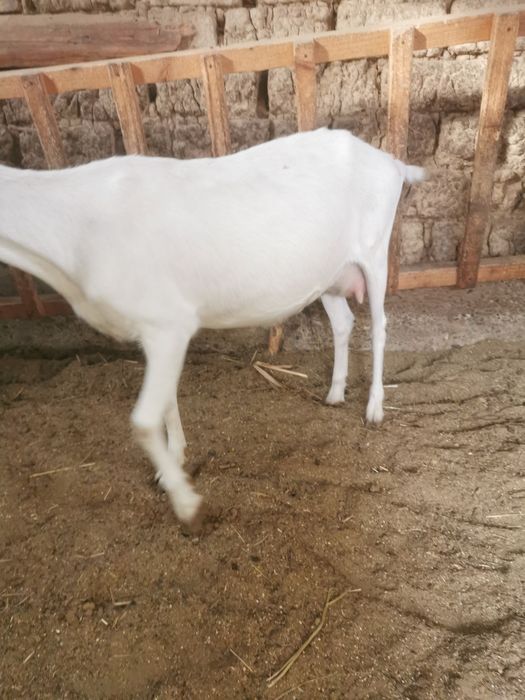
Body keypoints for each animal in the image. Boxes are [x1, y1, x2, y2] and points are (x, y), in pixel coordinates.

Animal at [0, 128, 425, 524]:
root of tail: (391, 161)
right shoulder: (155, 330)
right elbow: (166, 401)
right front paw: (174, 462)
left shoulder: (169, 323)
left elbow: (143, 421)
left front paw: (186, 502)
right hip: (330, 275)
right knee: (343, 322)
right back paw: (335, 393)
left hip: (375, 252)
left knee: (380, 326)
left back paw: (374, 407)